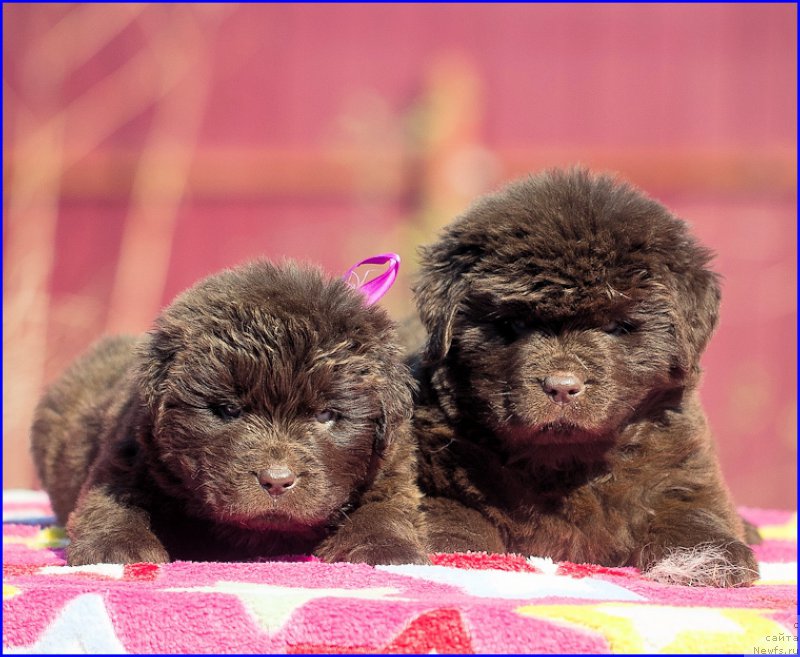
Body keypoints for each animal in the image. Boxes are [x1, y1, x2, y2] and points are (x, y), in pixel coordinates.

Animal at [31, 258, 428, 568]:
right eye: (228, 409)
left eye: (325, 415)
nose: (276, 481)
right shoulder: (128, 458)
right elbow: (113, 503)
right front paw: (115, 546)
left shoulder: (391, 469)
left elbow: (386, 508)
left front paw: (384, 547)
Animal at [412, 167, 764, 588]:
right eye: (514, 323)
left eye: (615, 326)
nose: (562, 387)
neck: (567, 462)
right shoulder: (434, 477)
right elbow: (453, 519)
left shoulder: (684, 471)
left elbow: (694, 514)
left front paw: (710, 559)